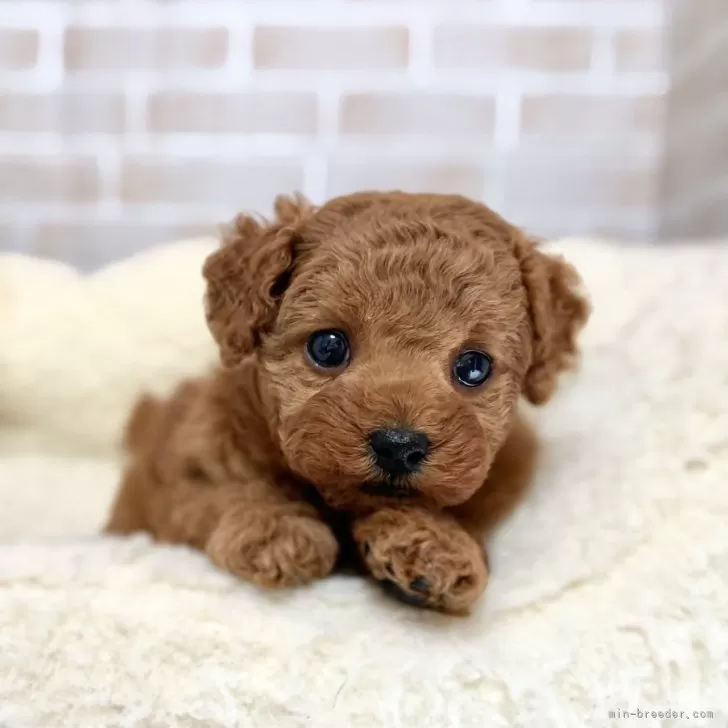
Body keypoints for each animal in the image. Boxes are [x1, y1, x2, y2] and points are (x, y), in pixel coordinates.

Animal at [105, 193, 588, 616]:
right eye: (329, 347)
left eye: (474, 367)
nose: (398, 445)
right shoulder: (184, 470)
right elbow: (216, 494)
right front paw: (275, 528)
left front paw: (432, 547)